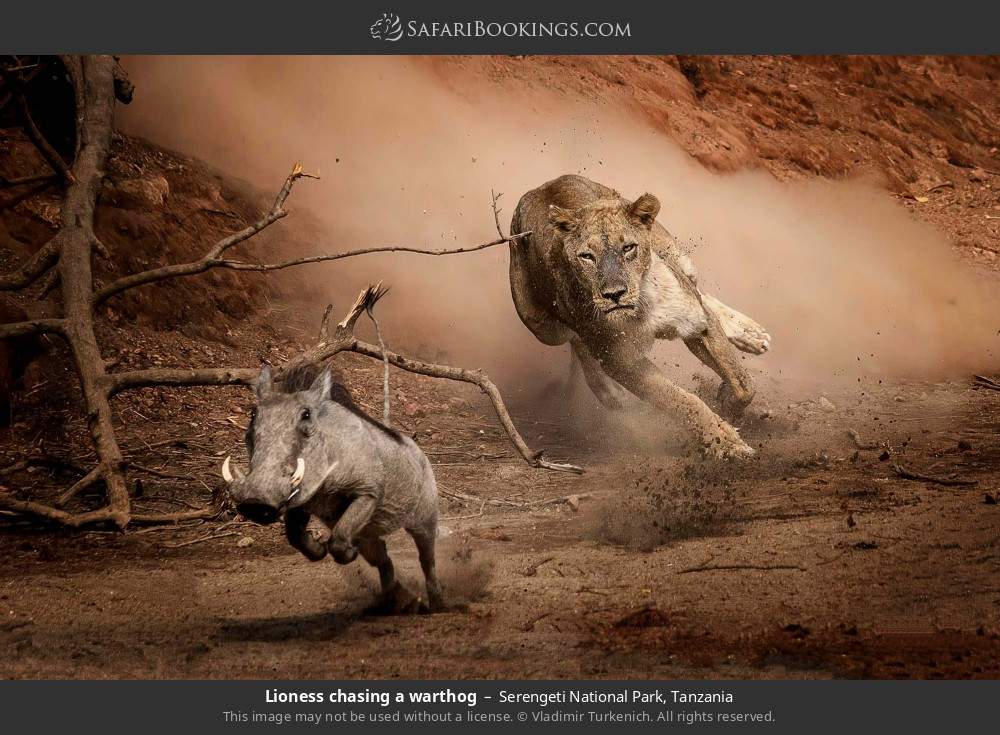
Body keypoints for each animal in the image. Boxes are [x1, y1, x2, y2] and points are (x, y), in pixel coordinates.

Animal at [509, 175, 770, 458]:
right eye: (587, 256)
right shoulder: (621, 360)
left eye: (628, 248)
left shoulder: (697, 323)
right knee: (576, 339)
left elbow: (743, 383)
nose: (614, 294)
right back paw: (608, 391)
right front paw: (724, 442)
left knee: (697, 289)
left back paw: (752, 335)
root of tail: (544, 185)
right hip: (542, 326)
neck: (640, 306)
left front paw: (726, 402)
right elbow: (680, 401)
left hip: (674, 253)